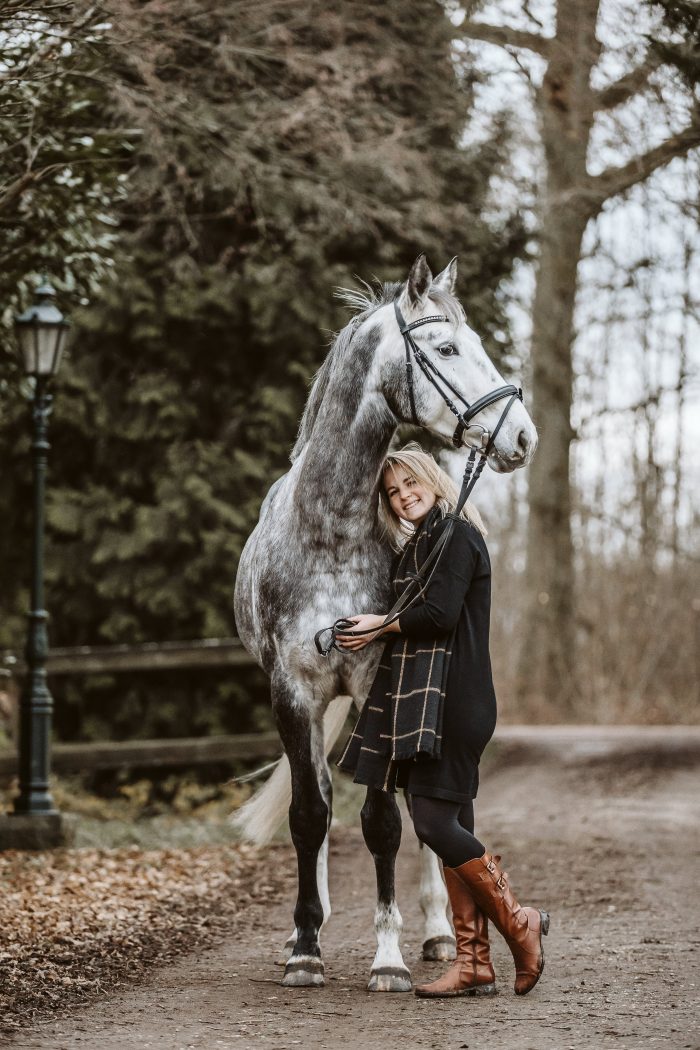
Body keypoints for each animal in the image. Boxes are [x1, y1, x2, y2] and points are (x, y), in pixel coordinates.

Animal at [234, 256, 537, 991]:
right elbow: (309, 814)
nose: (522, 436)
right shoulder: (292, 693)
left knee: (428, 813)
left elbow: (381, 822)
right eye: (446, 349)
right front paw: (305, 946)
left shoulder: (378, 681)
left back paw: (436, 934)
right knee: (323, 802)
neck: (329, 531)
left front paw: (389, 957)